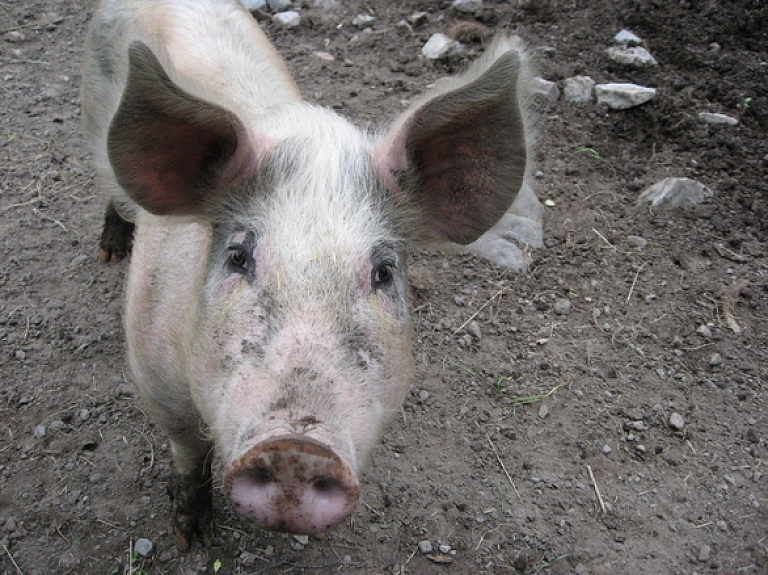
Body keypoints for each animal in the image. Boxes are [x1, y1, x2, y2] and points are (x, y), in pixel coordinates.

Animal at [79, 0, 536, 552]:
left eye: (383, 272)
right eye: (238, 257)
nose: (296, 449)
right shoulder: (153, 376)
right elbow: (187, 451)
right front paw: (191, 539)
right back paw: (110, 251)